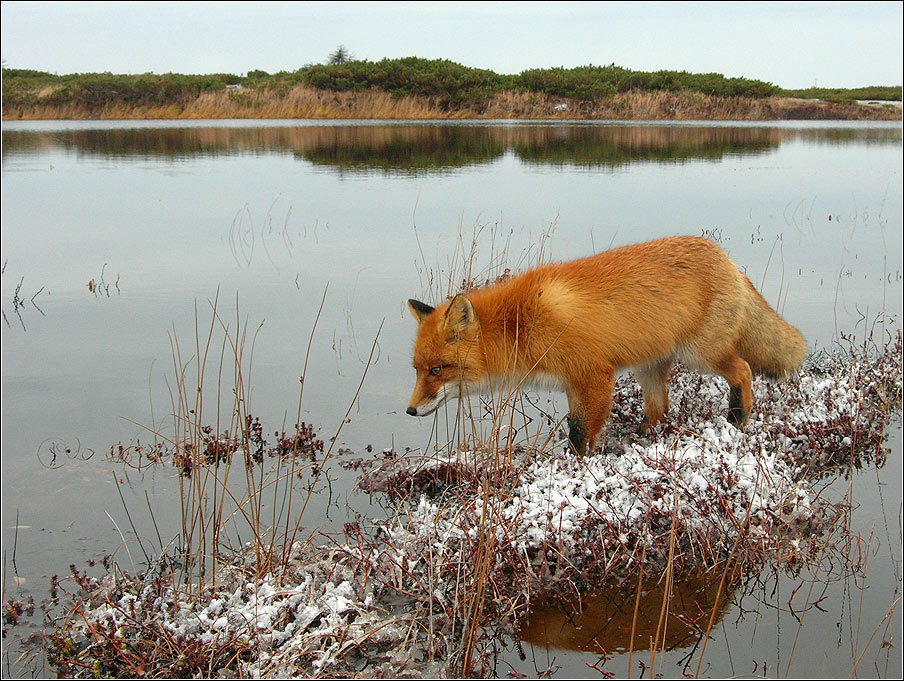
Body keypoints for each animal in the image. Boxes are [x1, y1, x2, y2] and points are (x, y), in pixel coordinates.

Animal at [405, 236, 808, 456]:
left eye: (437, 370)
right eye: (418, 370)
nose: (409, 410)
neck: (522, 324)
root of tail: (726, 259)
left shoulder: (594, 375)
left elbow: (580, 433)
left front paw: (576, 471)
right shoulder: (571, 384)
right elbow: (575, 427)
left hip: (702, 355)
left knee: (744, 370)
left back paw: (738, 419)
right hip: (650, 368)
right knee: (659, 410)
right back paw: (645, 439)